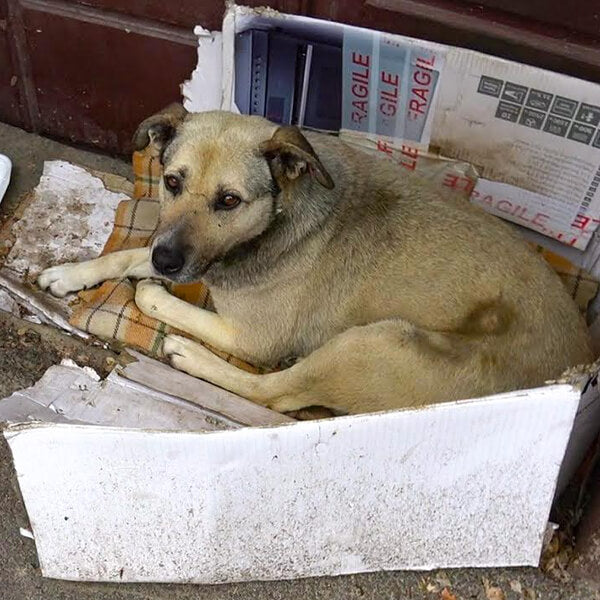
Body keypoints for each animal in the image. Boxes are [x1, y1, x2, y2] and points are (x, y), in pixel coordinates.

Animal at [38, 104, 596, 412]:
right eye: (172, 182)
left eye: (229, 201)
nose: (169, 263)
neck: (276, 219)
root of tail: (576, 370)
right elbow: (129, 254)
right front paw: (71, 274)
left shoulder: (254, 336)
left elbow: (160, 299)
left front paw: (153, 296)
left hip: (373, 343)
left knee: (274, 393)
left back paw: (188, 354)